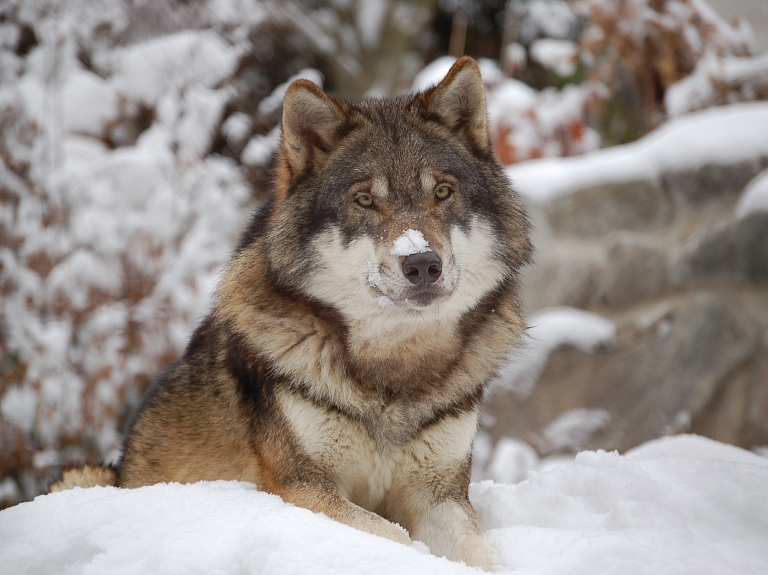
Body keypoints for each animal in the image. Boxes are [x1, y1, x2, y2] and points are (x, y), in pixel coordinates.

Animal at [51, 58, 532, 572]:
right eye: (365, 200)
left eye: (442, 192)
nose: (421, 263)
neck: (392, 374)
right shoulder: (301, 487)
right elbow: (393, 537)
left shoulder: (440, 495)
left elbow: (481, 556)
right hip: (83, 476)